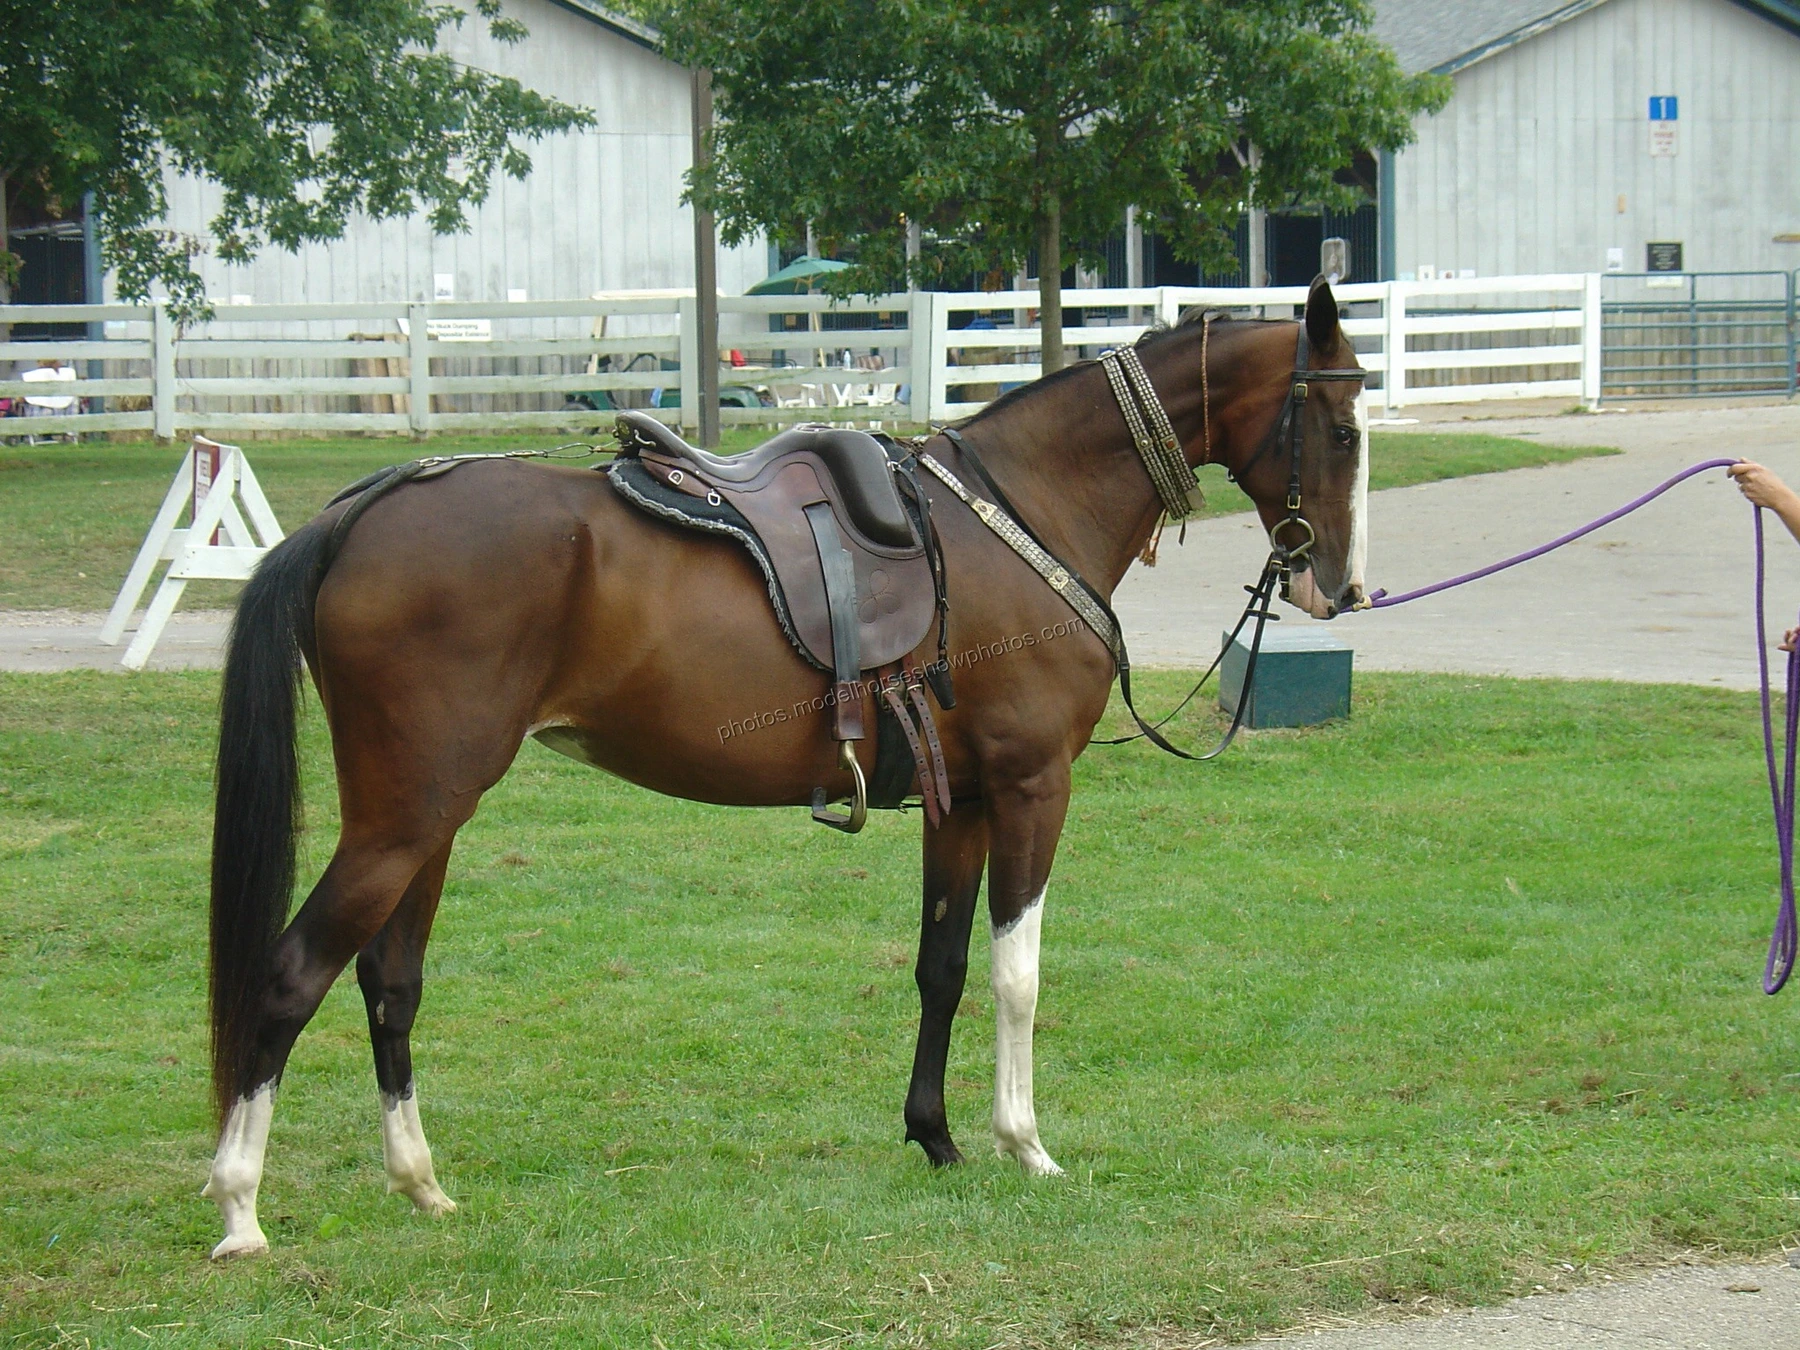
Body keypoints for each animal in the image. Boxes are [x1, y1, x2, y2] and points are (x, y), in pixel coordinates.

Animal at [200, 277, 1368, 1258]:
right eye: (1346, 427)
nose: (1341, 589)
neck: (1020, 513)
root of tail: (368, 508)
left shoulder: (961, 803)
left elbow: (942, 966)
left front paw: (935, 1137)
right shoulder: (1034, 787)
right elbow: (1017, 977)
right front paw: (1024, 1143)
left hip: (426, 819)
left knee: (389, 983)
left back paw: (419, 1182)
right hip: (404, 817)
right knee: (291, 975)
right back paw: (240, 1210)